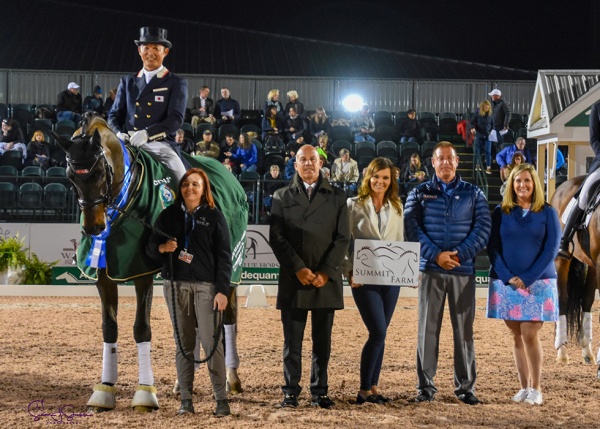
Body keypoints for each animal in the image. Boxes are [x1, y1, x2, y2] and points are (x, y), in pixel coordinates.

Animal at [53, 115, 246, 410]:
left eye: (99, 174)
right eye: (71, 176)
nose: (94, 229)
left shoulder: (142, 272)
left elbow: (141, 329)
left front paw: (145, 393)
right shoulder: (103, 276)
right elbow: (109, 328)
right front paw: (105, 389)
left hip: (230, 271)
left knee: (228, 319)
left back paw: (231, 380)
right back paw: (184, 382)